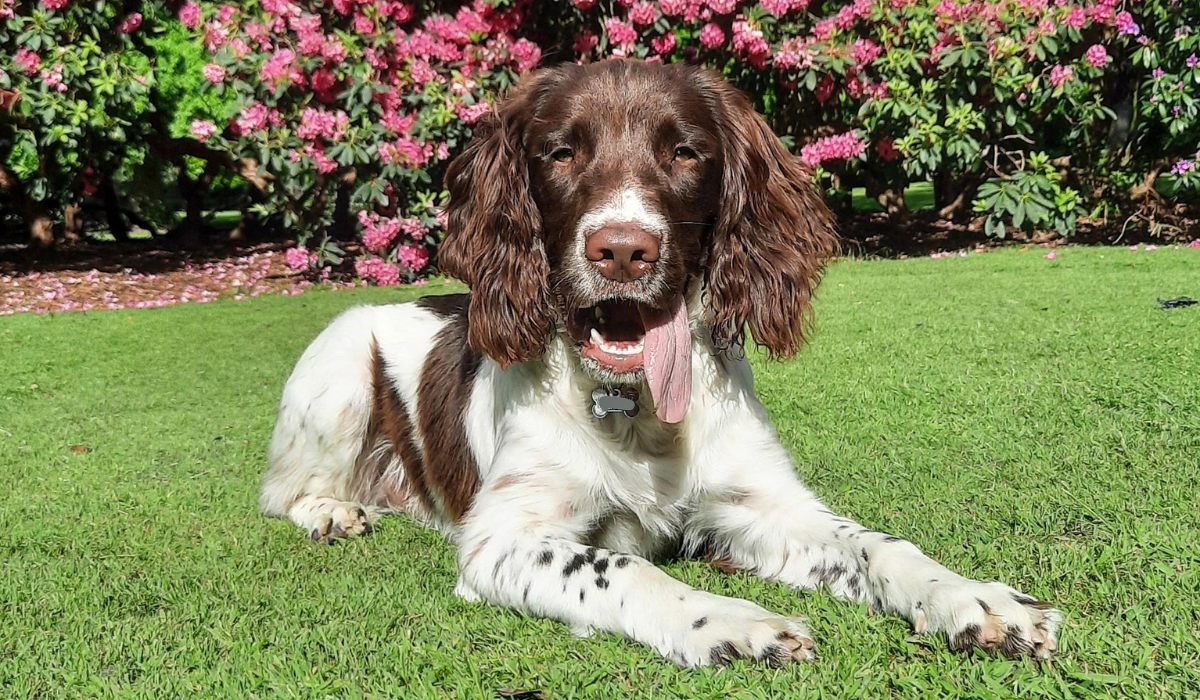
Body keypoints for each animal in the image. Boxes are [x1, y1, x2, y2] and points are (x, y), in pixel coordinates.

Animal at [260, 61, 1060, 667]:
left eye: (685, 152)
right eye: (561, 153)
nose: (621, 250)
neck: (631, 403)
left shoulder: (762, 504)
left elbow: (877, 544)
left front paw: (975, 598)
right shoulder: (500, 540)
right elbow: (620, 566)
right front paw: (734, 621)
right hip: (336, 369)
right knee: (282, 492)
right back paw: (334, 513)